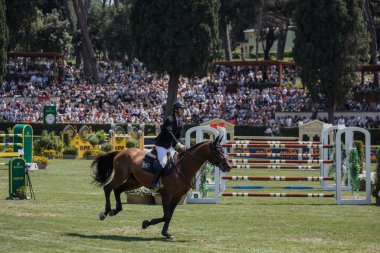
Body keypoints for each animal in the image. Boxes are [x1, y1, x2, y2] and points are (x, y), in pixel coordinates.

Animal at [91, 136, 232, 241]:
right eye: (218, 151)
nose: (228, 166)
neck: (183, 167)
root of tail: (121, 152)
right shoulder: (166, 195)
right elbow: (166, 215)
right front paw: (146, 223)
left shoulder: (177, 197)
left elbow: (169, 215)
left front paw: (166, 233)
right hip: (121, 176)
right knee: (108, 188)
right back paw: (105, 212)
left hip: (134, 181)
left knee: (118, 190)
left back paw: (115, 210)